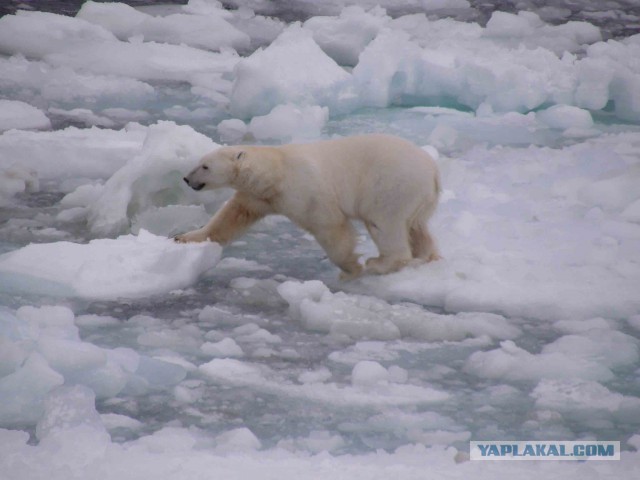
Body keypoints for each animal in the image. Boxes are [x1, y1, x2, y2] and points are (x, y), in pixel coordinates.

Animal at [178, 135, 442, 278]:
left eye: (205, 166)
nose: (186, 179)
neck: (276, 171)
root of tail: (432, 170)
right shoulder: (258, 196)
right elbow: (231, 217)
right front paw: (184, 237)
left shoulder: (305, 189)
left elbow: (330, 225)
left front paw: (351, 268)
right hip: (420, 198)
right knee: (417, 226)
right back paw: (426, 256)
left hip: (390, 186)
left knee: (385, 224)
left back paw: (379, 263)